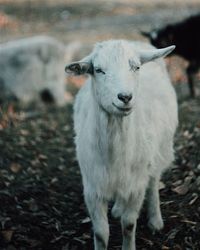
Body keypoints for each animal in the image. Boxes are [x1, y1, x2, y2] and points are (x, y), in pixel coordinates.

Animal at [65, 40, 178, 249]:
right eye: (98, 70)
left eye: (136, 67)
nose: (125, 97)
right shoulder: (92, 187)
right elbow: (101, 233)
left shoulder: (137, 184)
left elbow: (129, 224)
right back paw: (118, 207)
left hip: (159, 150)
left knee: (154, 180)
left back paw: (155, 219)